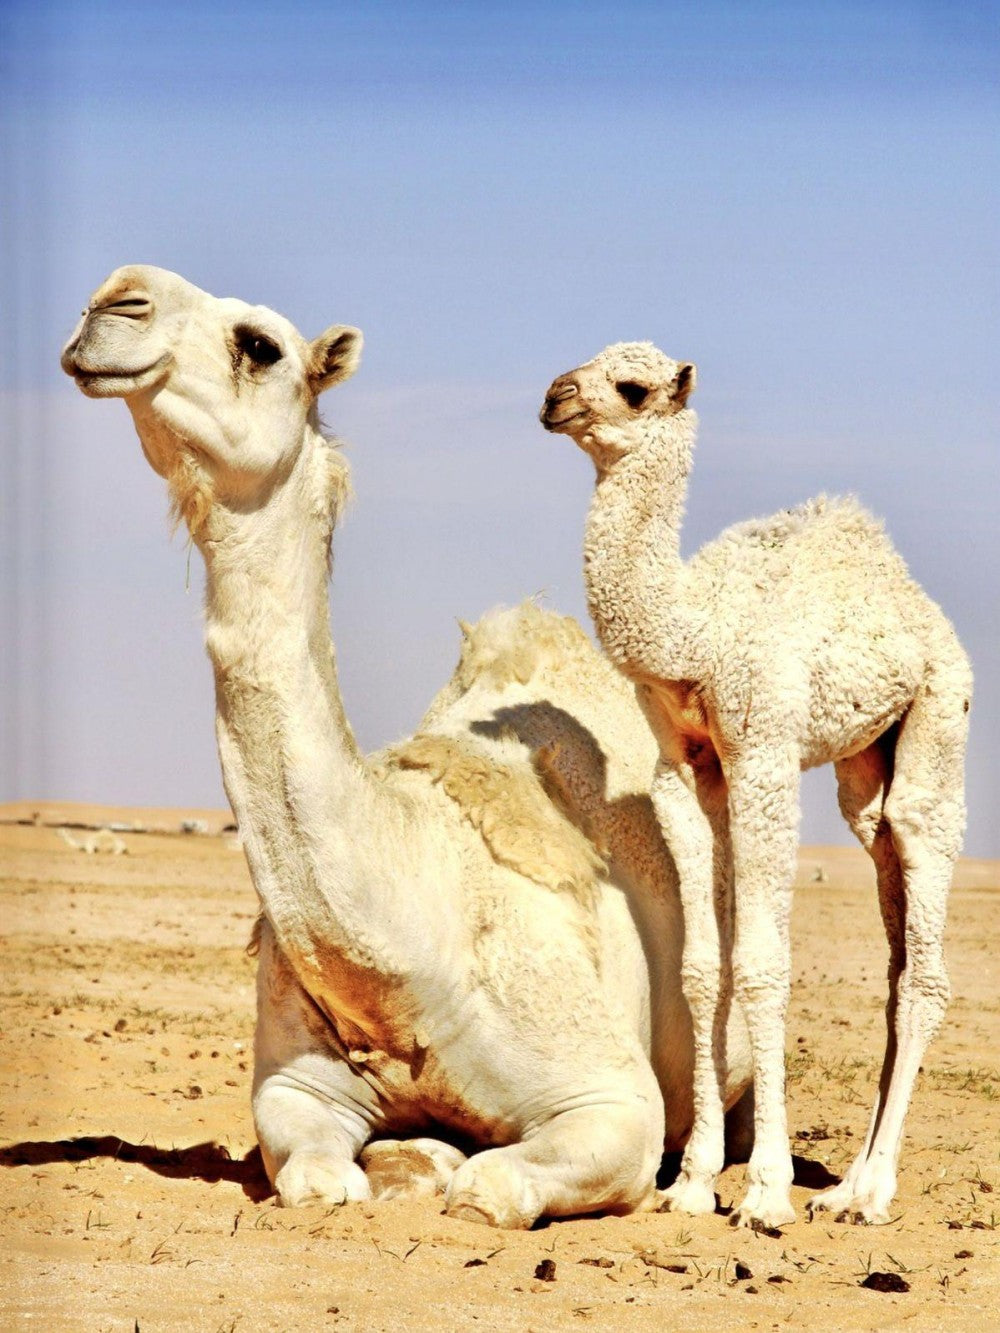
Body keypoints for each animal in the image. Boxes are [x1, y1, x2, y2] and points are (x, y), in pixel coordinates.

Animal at [61, 270, 753, 1228]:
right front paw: (407, 1154)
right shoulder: (292, 1089)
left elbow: (490, 1184)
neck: (407, 960)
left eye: (260, 345)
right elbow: (322, 1174)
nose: (114, 299)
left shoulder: (614, 1097)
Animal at [541, 341, 971, 1229]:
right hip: (862, 771)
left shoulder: (765, 755)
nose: (554, 397)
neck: (697, 632)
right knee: (889, 907)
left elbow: (764, 965)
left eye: (631, 388)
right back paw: (845, 1184)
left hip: (939, 716)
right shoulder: (684, 771)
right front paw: (693, 1181)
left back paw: (872, 1193)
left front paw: (766, 1189)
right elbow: (703, 968)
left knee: (924, 930)